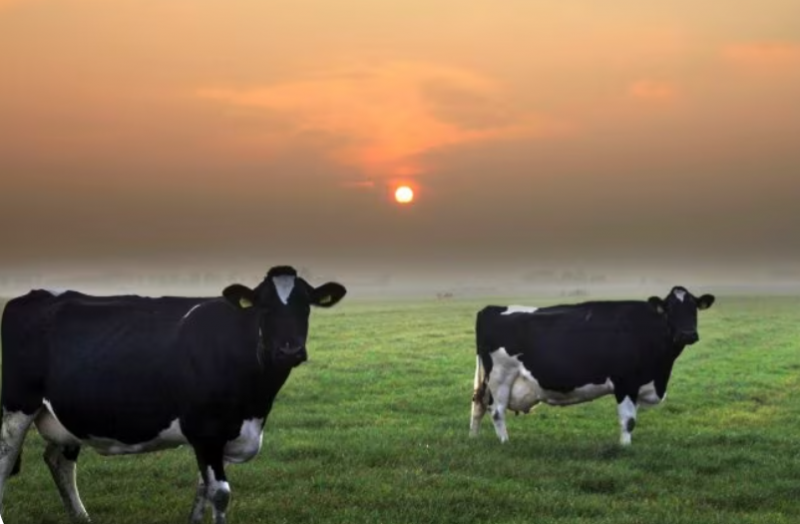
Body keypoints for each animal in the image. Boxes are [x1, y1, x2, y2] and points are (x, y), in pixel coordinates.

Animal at [0, 266, 346, 524]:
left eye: (306, 305)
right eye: (265, 306)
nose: (289, 350)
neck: (255, 405)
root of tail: (30, 295)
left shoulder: (219, 437)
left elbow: (202, 490)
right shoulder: (206, 431)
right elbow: (220, 493)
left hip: (65, 417)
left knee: (58, 460)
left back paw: (81, 517)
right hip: (16, 406)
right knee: (5, 460)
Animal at [466, 286, 716, 446]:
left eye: (694, 308)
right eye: (669, 309)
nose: (687, 334)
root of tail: (490, 308)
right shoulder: (625, 382)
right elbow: (628, 420)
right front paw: (625, 447)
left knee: (479, 404)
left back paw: (474, 439)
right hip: (501, 375)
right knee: (496, 411)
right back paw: (505, 442)